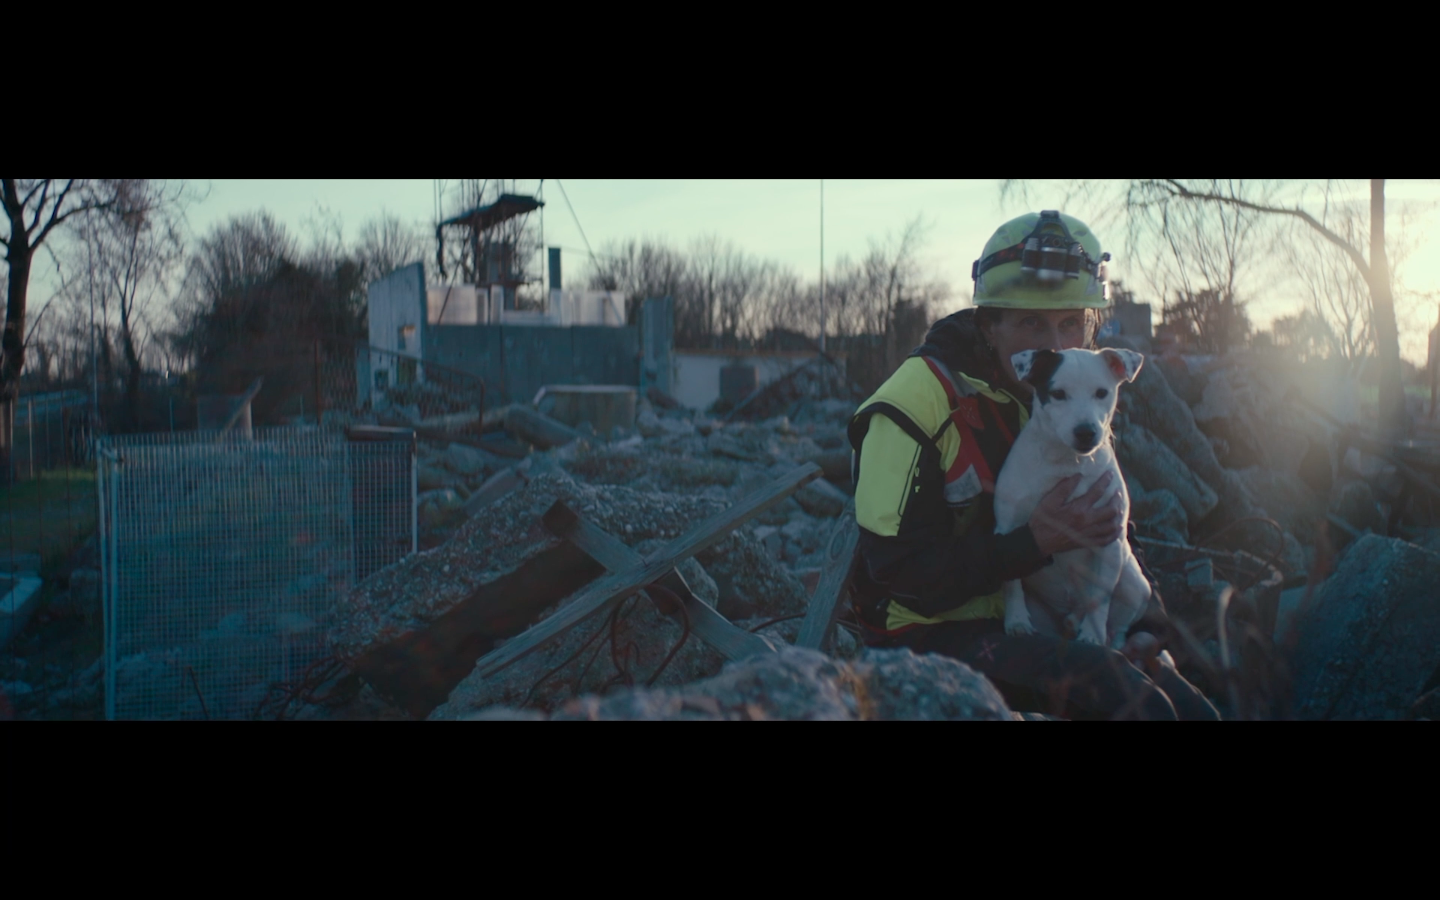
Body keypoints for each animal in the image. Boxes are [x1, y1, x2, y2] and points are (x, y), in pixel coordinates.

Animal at [993, 347, 1149, 649]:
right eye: (1058, 393)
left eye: (1101, 392)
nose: (1086, 431)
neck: (1067, 463)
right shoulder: (1007, 529)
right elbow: (1011, 580)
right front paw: (1016, 621)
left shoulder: (1109, 541)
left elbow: (1099, 599)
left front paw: (1092, 635)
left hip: (1134, 582)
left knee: (1120, 623)